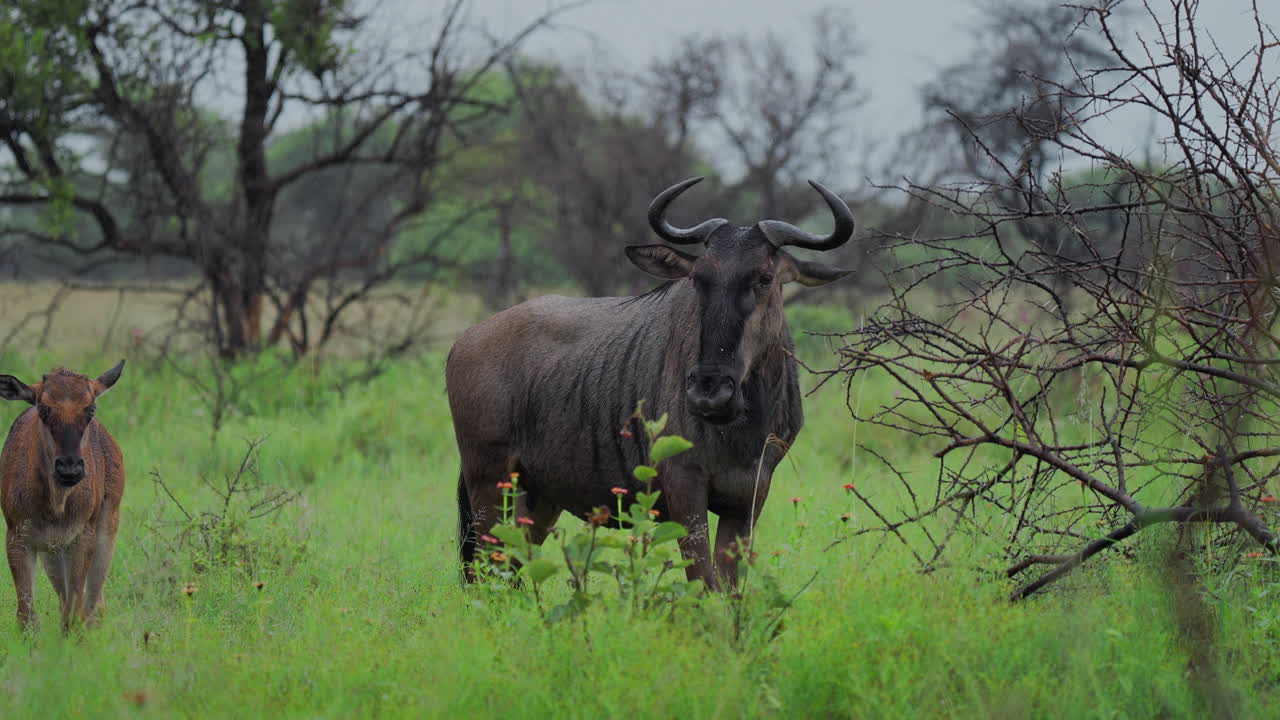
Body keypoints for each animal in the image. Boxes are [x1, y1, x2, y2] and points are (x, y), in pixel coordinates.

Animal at [1, 361, 126, 631]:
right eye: (43, 408)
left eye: (90, 409)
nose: (69, 468)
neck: (55, 506)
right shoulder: (18, 536)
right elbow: (27, 616)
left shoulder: (82, 536)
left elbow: (74, 610)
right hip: (53, 553)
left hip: (108, 524)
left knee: (95, 602)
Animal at [447, 177, 853, 588]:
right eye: (698, 280)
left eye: (764, 278)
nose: (709, 392)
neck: (744, 424)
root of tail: (464, 341)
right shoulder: (685, 489)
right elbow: (702, 582)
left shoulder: (749, 496)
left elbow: (727, 586)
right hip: (490, 485)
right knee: (485, 571)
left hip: (539, 498)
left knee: (510, 570)